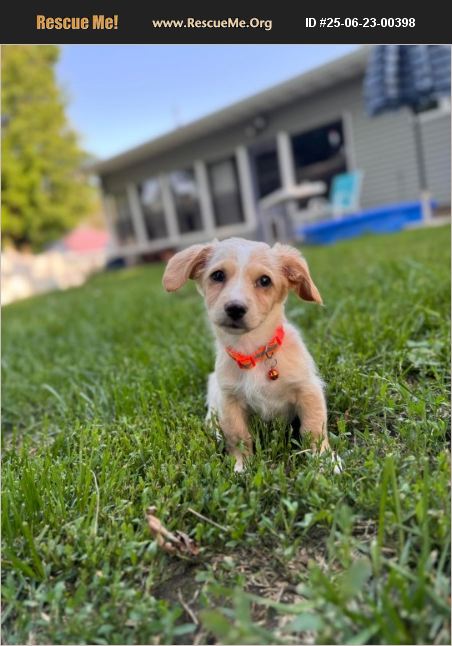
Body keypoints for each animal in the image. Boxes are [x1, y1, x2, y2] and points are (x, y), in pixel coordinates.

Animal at [163, 237, 340, 473]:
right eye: (217, 275)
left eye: (264, 280)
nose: (235, 308)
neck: (253, 353)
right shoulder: (230, 400)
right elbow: (239, 436)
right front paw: (241, 466)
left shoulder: (308, 389)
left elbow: (313, 429)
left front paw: (325, 460)